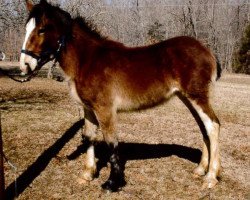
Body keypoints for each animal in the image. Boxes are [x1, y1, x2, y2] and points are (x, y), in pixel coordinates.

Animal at [20, 0, 222, 191]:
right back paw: (200, 169)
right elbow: (89, 136)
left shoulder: (105, 110)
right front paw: (87, 174)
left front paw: (112, 182)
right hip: (187, 98)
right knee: (204, 128)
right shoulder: (88, 109)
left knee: (212, 126)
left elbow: (111, 141)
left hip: (197, 97)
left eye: (41, 29)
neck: (87, 60)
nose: (25, 65)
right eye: (26, 29)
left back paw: (211, 178)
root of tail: (207, 51)